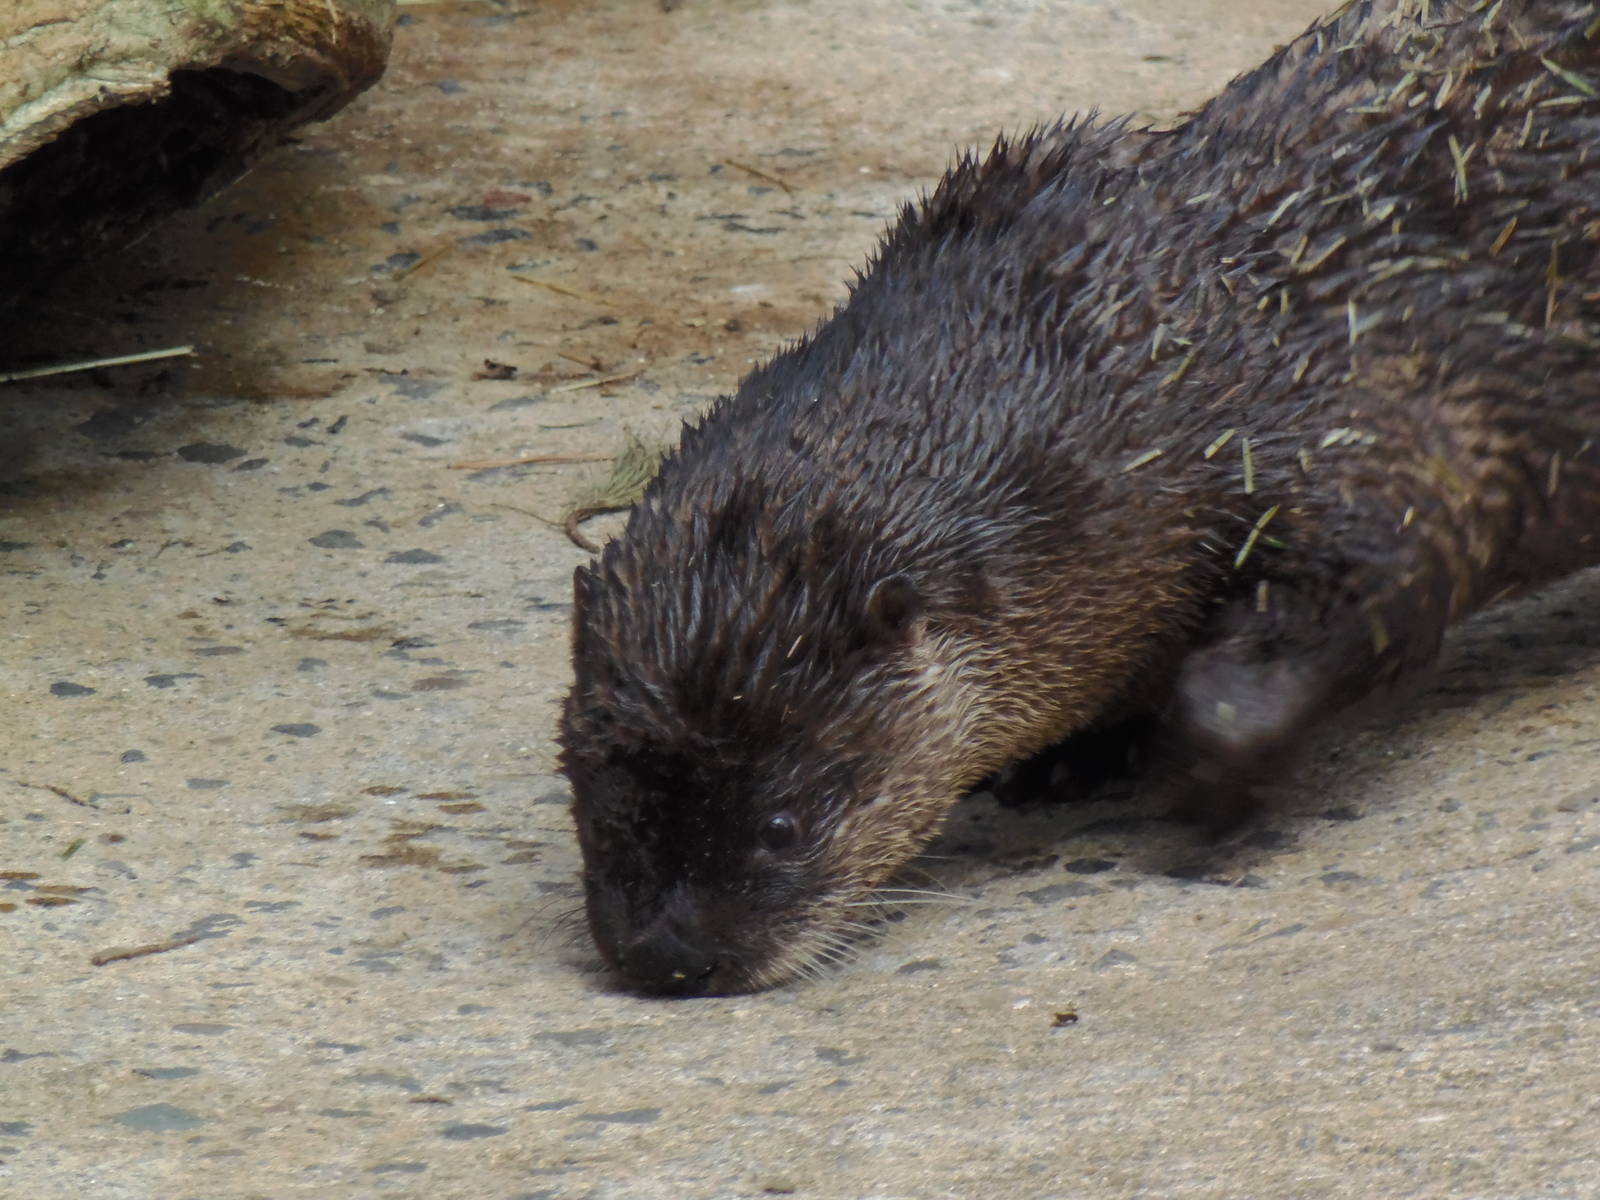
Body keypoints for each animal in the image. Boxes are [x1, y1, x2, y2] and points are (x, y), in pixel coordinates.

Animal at [559, 0, 1600, 995]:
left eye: (786, 821)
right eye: (590, 798)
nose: (667, 952)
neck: (1170, 360)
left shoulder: (1381, 443)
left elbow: (1374, 596)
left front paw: (1203, 778)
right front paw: (1073, 755)